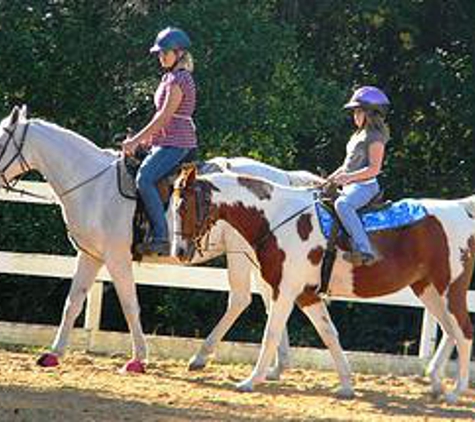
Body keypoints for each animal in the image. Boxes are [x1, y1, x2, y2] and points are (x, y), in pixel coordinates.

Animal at [0, 106, 350, 386]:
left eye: (0, 139)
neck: (93, 185)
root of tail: (282, 180)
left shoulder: (116, 257)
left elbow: (130, 304)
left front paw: (138, 359)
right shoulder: (90, 255)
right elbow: (72, 302)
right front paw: (52, 354)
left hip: (240, 255)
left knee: (241, 299)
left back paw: (203, 357)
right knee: (268, 299)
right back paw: (276, 367)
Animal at [173, 165, 474, 402]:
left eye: (183, 206)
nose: (179, 251)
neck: (276, 217)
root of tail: (460, 208)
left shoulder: (285, 291)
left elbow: (271, 333)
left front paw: (250, 381)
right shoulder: (307, 296)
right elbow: (329, 334)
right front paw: (346, 386)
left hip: (451, 288)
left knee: (464, 331)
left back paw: (455, 392)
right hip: (428, 289)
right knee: (450, 331)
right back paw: (436, 383)